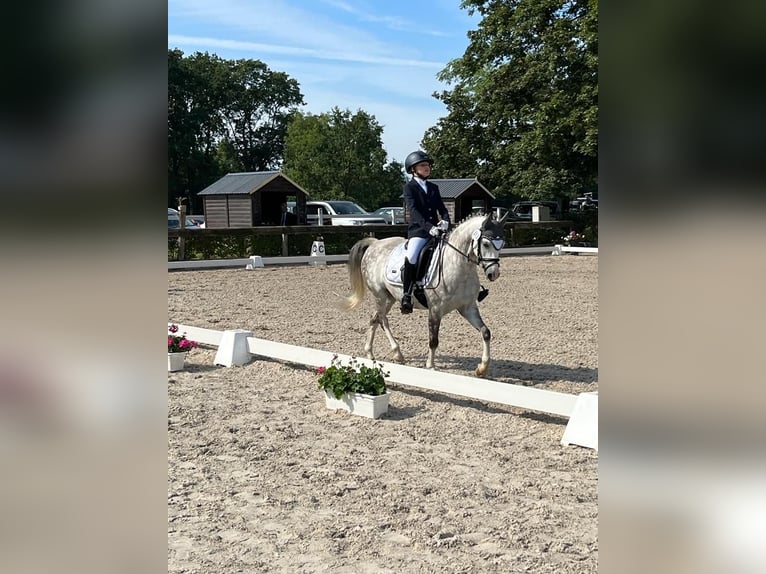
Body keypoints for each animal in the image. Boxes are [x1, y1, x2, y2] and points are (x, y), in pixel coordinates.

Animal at [339, 212, 508, 377]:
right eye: (486, 244)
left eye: (502, 245)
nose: (494, 274)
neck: (457, 265)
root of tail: (374, 244)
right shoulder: (435, 310)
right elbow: (433, 340)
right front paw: (431, 367)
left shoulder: (468, 308)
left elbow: (486, 332)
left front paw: (482, 368)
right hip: (380, 295)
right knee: (383, 320)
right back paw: (397, 353)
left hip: (390, 298)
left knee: (374, 318)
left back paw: (370, 354)